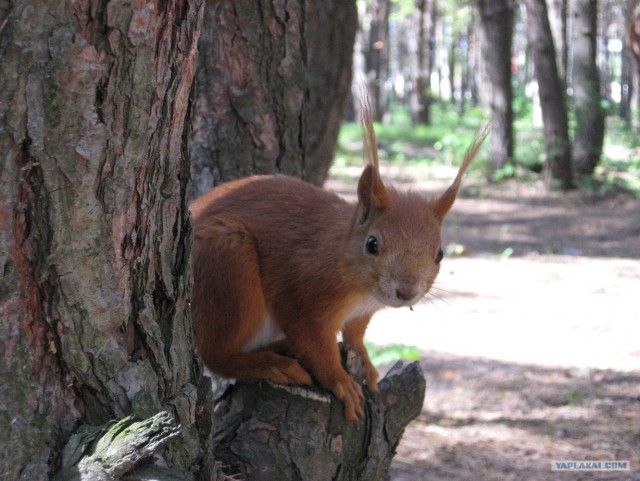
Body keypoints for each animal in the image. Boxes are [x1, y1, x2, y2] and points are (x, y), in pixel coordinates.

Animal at [190, 106, 490, 420]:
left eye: (440, 254)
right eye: (372, 244)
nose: (407, 292)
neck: (361, 290)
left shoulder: (361, 313)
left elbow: (355, 337)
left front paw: (367, 365)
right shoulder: (303, 300)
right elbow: (317, 348)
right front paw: (342, 382)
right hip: (228, 262)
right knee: (218, 356)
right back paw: (270, 364)